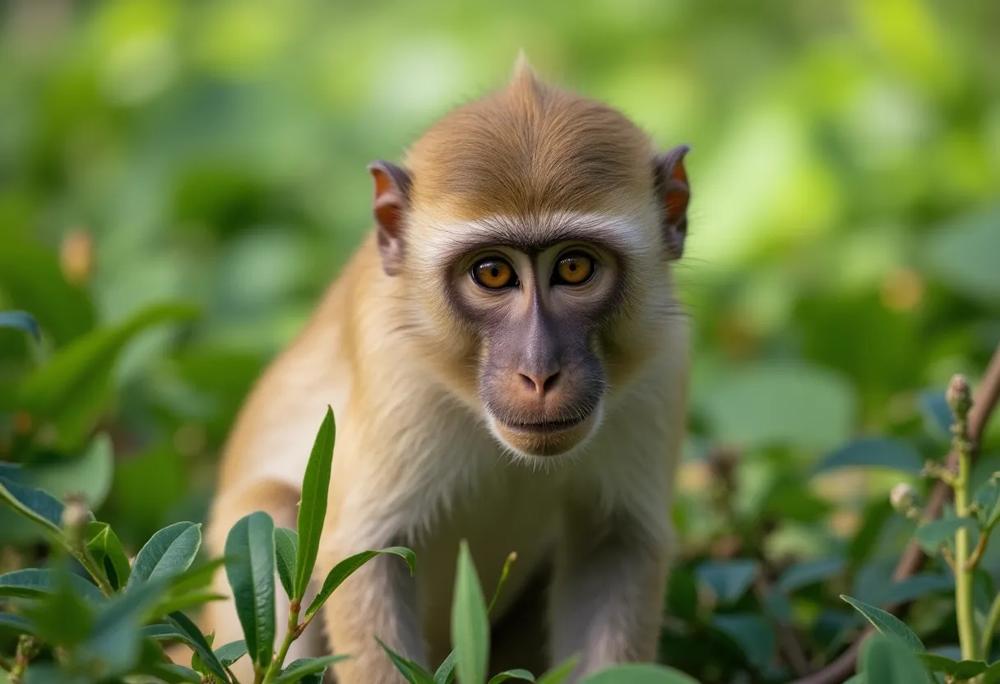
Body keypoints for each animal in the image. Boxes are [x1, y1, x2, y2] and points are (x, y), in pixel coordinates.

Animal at [202, 59, 691, 682]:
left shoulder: (662, 359)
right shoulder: (394, 365)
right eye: (492, 273)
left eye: (575, 267)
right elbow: (364, 554)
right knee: (267, 504)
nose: (539, 373)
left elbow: (616, 545)